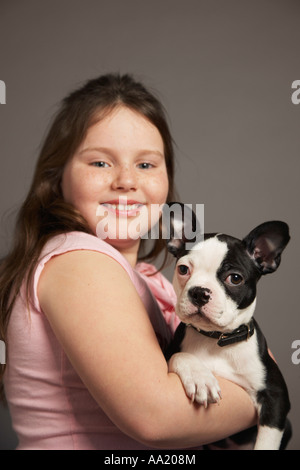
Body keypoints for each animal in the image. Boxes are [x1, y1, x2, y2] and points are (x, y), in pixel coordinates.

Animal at [165, 204, 292, 450]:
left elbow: (266, 442)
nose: (199, 292)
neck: (216, 340)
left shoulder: (276, 396)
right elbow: (180, 356)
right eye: (183, 269)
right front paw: (200, 377)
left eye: (235, 278)